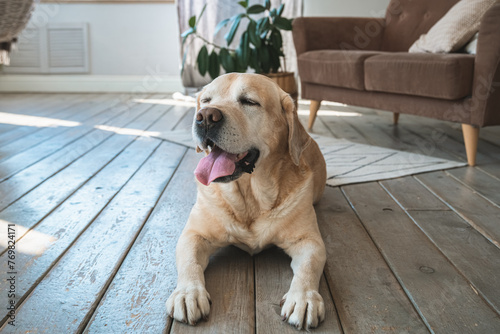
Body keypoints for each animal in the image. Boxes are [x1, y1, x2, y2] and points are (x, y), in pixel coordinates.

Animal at [166, 72, 326, 330]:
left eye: (249, 101)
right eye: (206, 100)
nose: (205, 117)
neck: (250, 196)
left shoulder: (309, 241)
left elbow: (309, 266)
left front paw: (304, 298)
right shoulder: (193, 234)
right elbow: (190, 262)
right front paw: (187, 293)